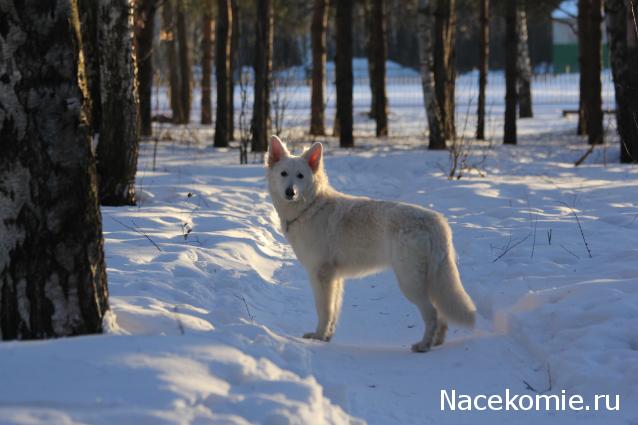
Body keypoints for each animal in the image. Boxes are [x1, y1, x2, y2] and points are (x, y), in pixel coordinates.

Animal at [264, 137, 476, 352]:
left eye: (300, 176)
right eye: (283, 174)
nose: (290, 192)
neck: (309, 207)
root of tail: (437, 223)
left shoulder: (322, 275)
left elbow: (324, 309)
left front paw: (318, 336)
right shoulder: (335, 278)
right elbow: (334, 311)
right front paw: (327, 337)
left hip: (410, 282)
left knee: (432, 313)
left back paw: (423, 345)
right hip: (428, 280)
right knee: (441, 314)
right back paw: (437, 342)